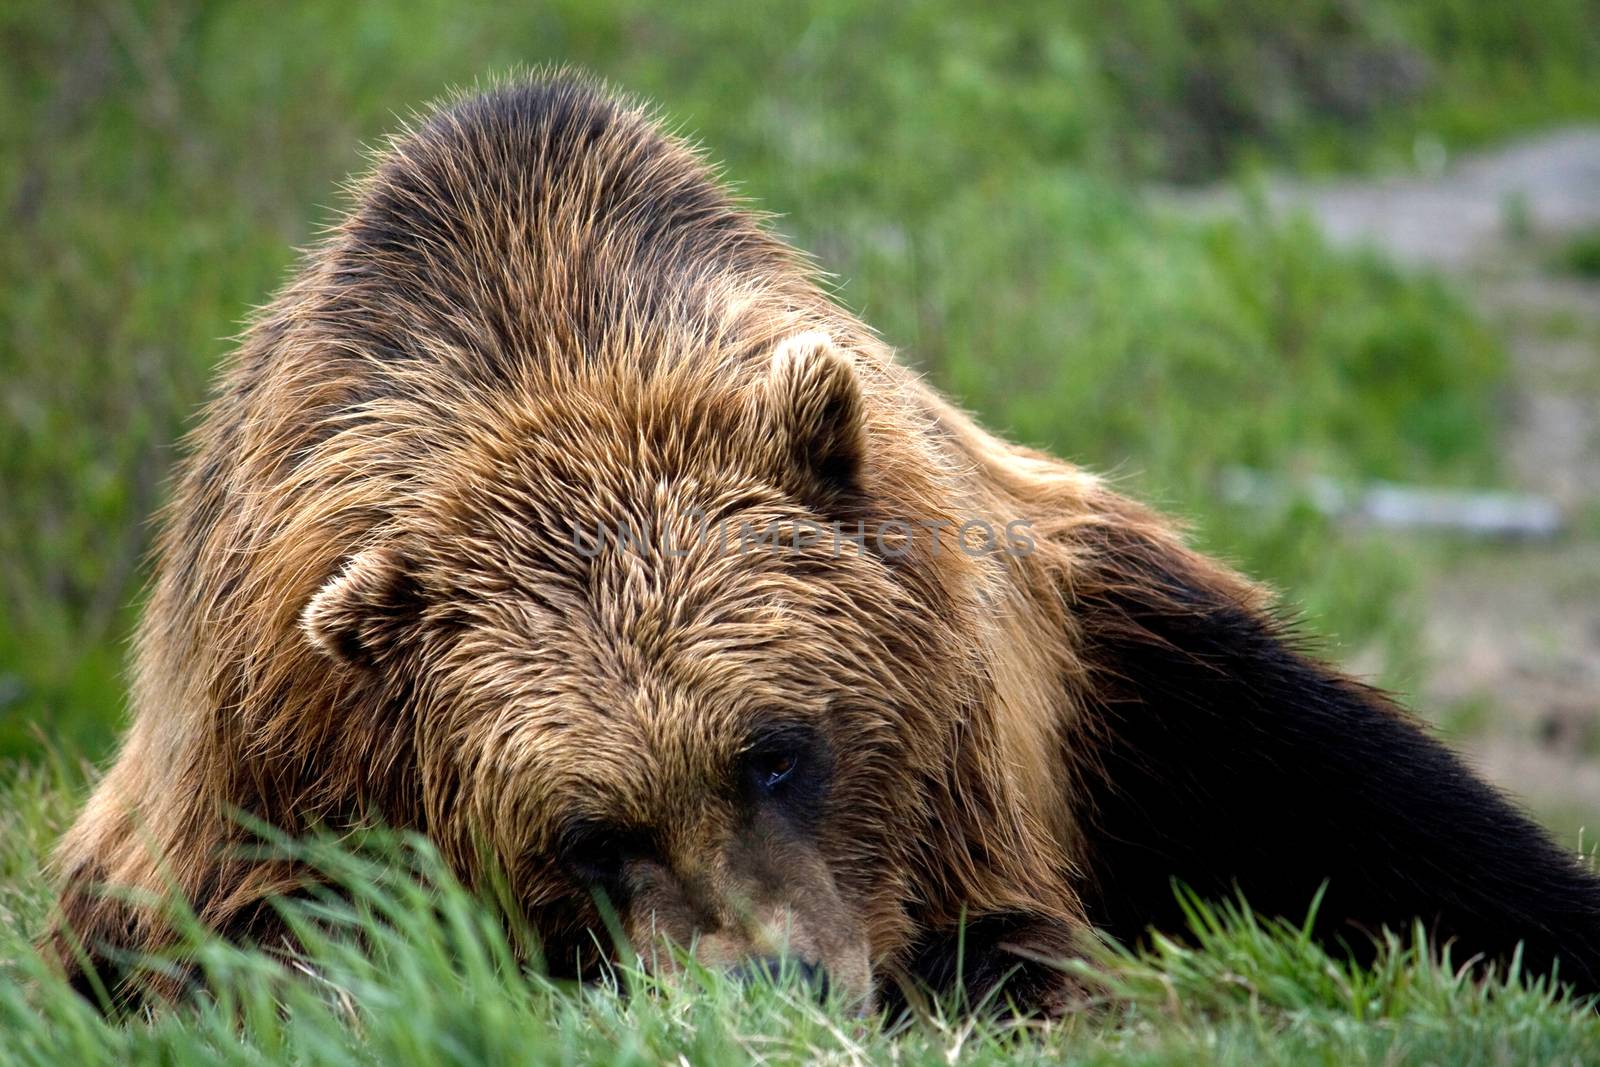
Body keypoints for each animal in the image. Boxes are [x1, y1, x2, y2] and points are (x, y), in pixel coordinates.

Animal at [43, 73, 1600, 1011]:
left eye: (777, 748)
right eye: (585, 828)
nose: (768, 981)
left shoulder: (1003, 700)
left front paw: (994, 962)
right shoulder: (272, 748)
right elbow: (277, 946)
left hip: (1138, 660)